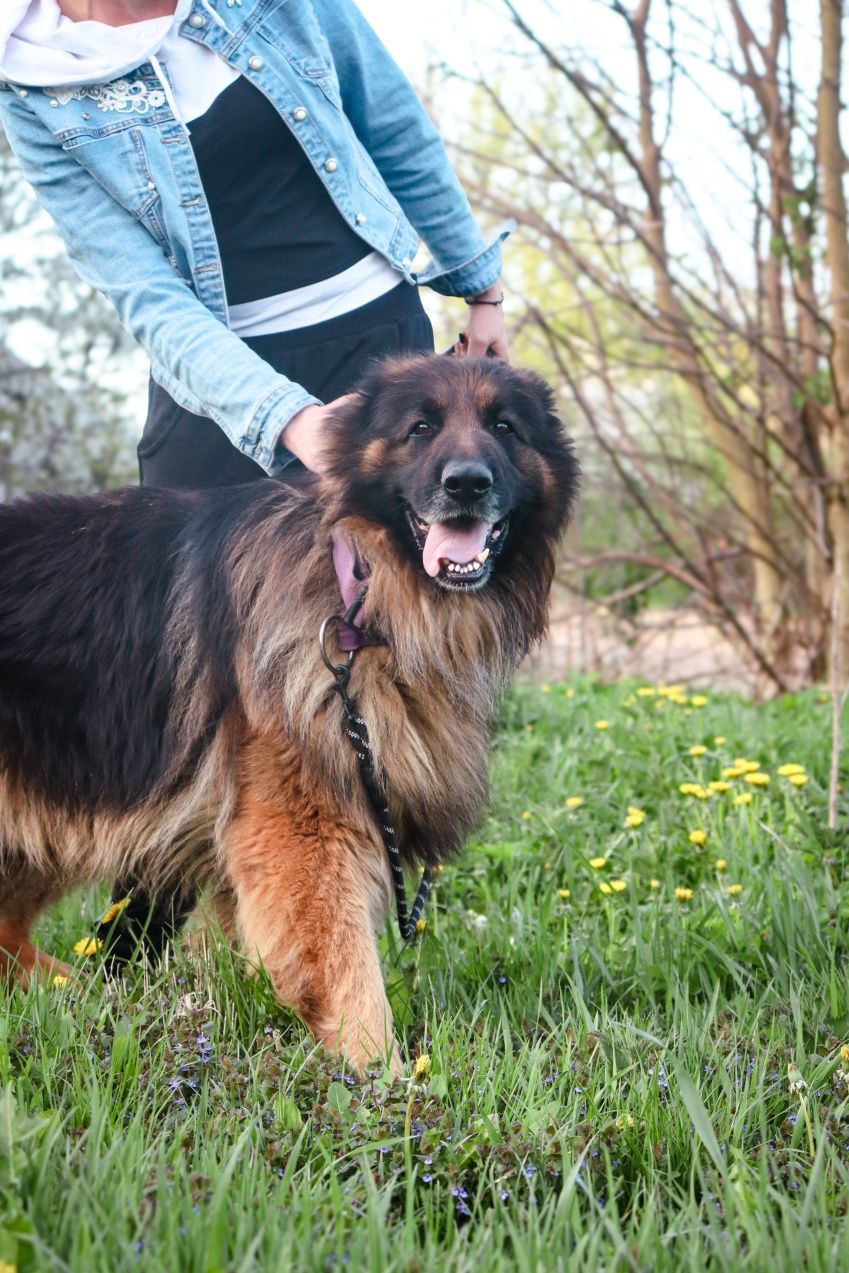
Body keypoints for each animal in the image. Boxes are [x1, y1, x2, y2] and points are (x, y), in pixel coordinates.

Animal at [0, 356, 577, 1074]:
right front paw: (386, 1083)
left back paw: (79, 997)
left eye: (504, 427)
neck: (361, 594)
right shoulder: (302, 835)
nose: (467, 483)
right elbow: (349, 977)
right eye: (420, 428)